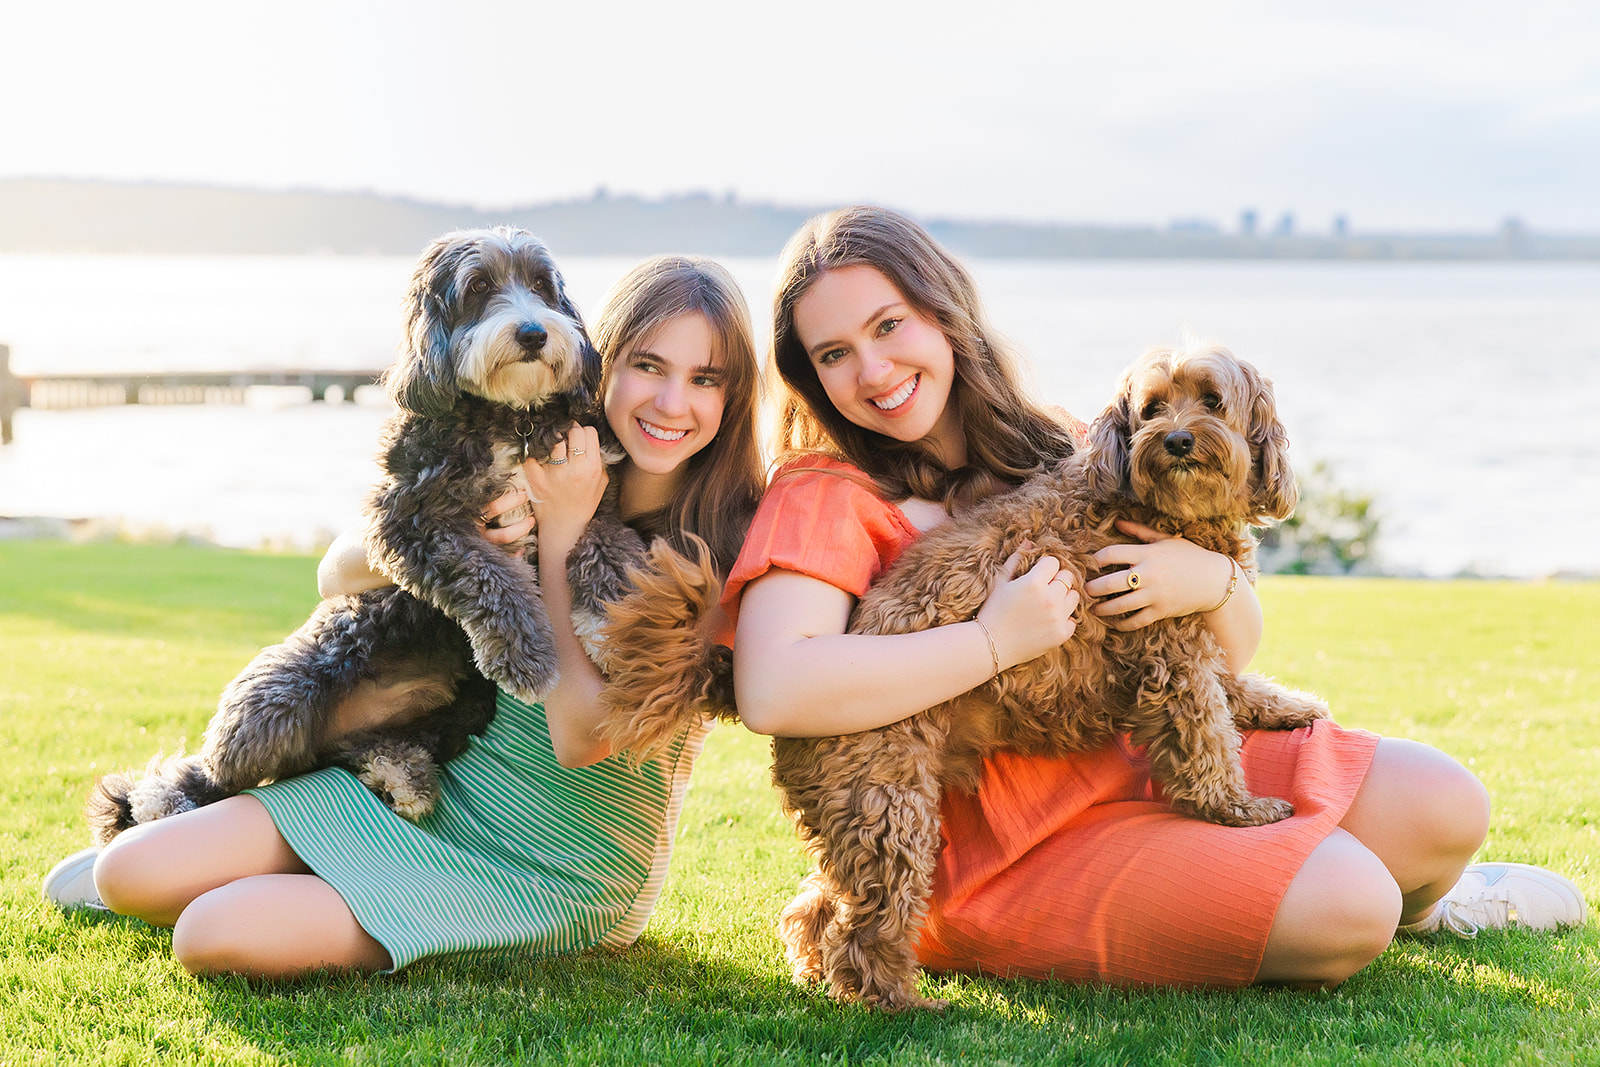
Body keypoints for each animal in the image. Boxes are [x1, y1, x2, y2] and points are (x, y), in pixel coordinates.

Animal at [87, 230, 646, 844]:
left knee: (371, 748)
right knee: (214, 773)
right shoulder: (409, 522)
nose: (533, 333)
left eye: (542, 285)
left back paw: (401, 775)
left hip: (456, 710)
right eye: (478, 286)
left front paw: (618, 625)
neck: (507, 418)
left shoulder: (590, 501)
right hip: (281, 695)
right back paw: (162, 800)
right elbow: (489, 575)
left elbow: (608, 550)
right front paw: (526, 655)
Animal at [598, 342, 1324, 1011]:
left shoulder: (1195, 628)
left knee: (821, 903)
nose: (1175, 439)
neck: (1156, 509)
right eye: (1151, 408)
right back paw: (900, 1002)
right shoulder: (1169, 649)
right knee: (868, 924)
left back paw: (816, 969)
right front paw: (1237, 809)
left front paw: (1288, 705)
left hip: (855, 809)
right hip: (889, 805)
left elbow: (1235, 686)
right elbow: (1206, 738)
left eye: (1211, 400)